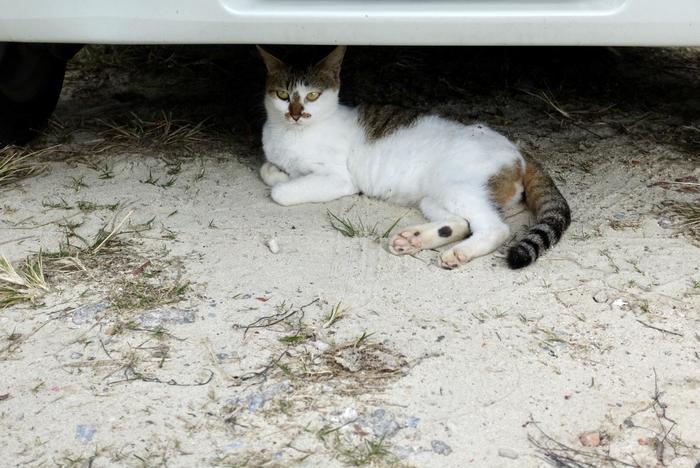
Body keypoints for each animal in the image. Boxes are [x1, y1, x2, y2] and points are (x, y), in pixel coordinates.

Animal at [258, 46, 568, 270]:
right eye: (283, 95)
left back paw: (458, 252)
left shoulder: (339, 179)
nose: (296, 114)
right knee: (464, 222)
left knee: (496, 228)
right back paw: (416, 240)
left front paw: (284, 180)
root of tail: (518, 149)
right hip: (434, 197)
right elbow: (267, 169)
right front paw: (280, 171)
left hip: (459, 187)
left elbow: (279, 192)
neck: (288, 133)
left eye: (312, 95)